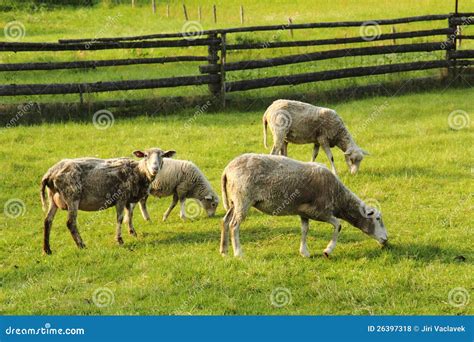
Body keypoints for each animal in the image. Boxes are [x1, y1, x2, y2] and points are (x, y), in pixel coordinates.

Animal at [39, 147, 177, 254]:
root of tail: (50, 173)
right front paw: (119, 239)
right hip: (72, 197)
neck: (138, 172)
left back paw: (47, 249)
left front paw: (132, 232)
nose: (155, 168)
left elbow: (130, 214)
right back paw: (81, 245)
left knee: (48, 221)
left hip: (53, 198)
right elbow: (120, 218)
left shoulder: (128, 199)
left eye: (162, 156)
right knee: (70, 222)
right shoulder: (120, 198)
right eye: (146, 156)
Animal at [220, 154, 386, 258]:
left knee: (225, 221)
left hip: (234, 201)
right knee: (234, 225)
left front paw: (304, 252)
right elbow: (338, 225)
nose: (386, 240)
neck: (339, 198)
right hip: (243, 199)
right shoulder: (320, 211)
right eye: (378, 218)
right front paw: (327, 250)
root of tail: (227, 170)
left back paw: (224, 250)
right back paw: (238, 253)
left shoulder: (304, 212)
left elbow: (305, 230)